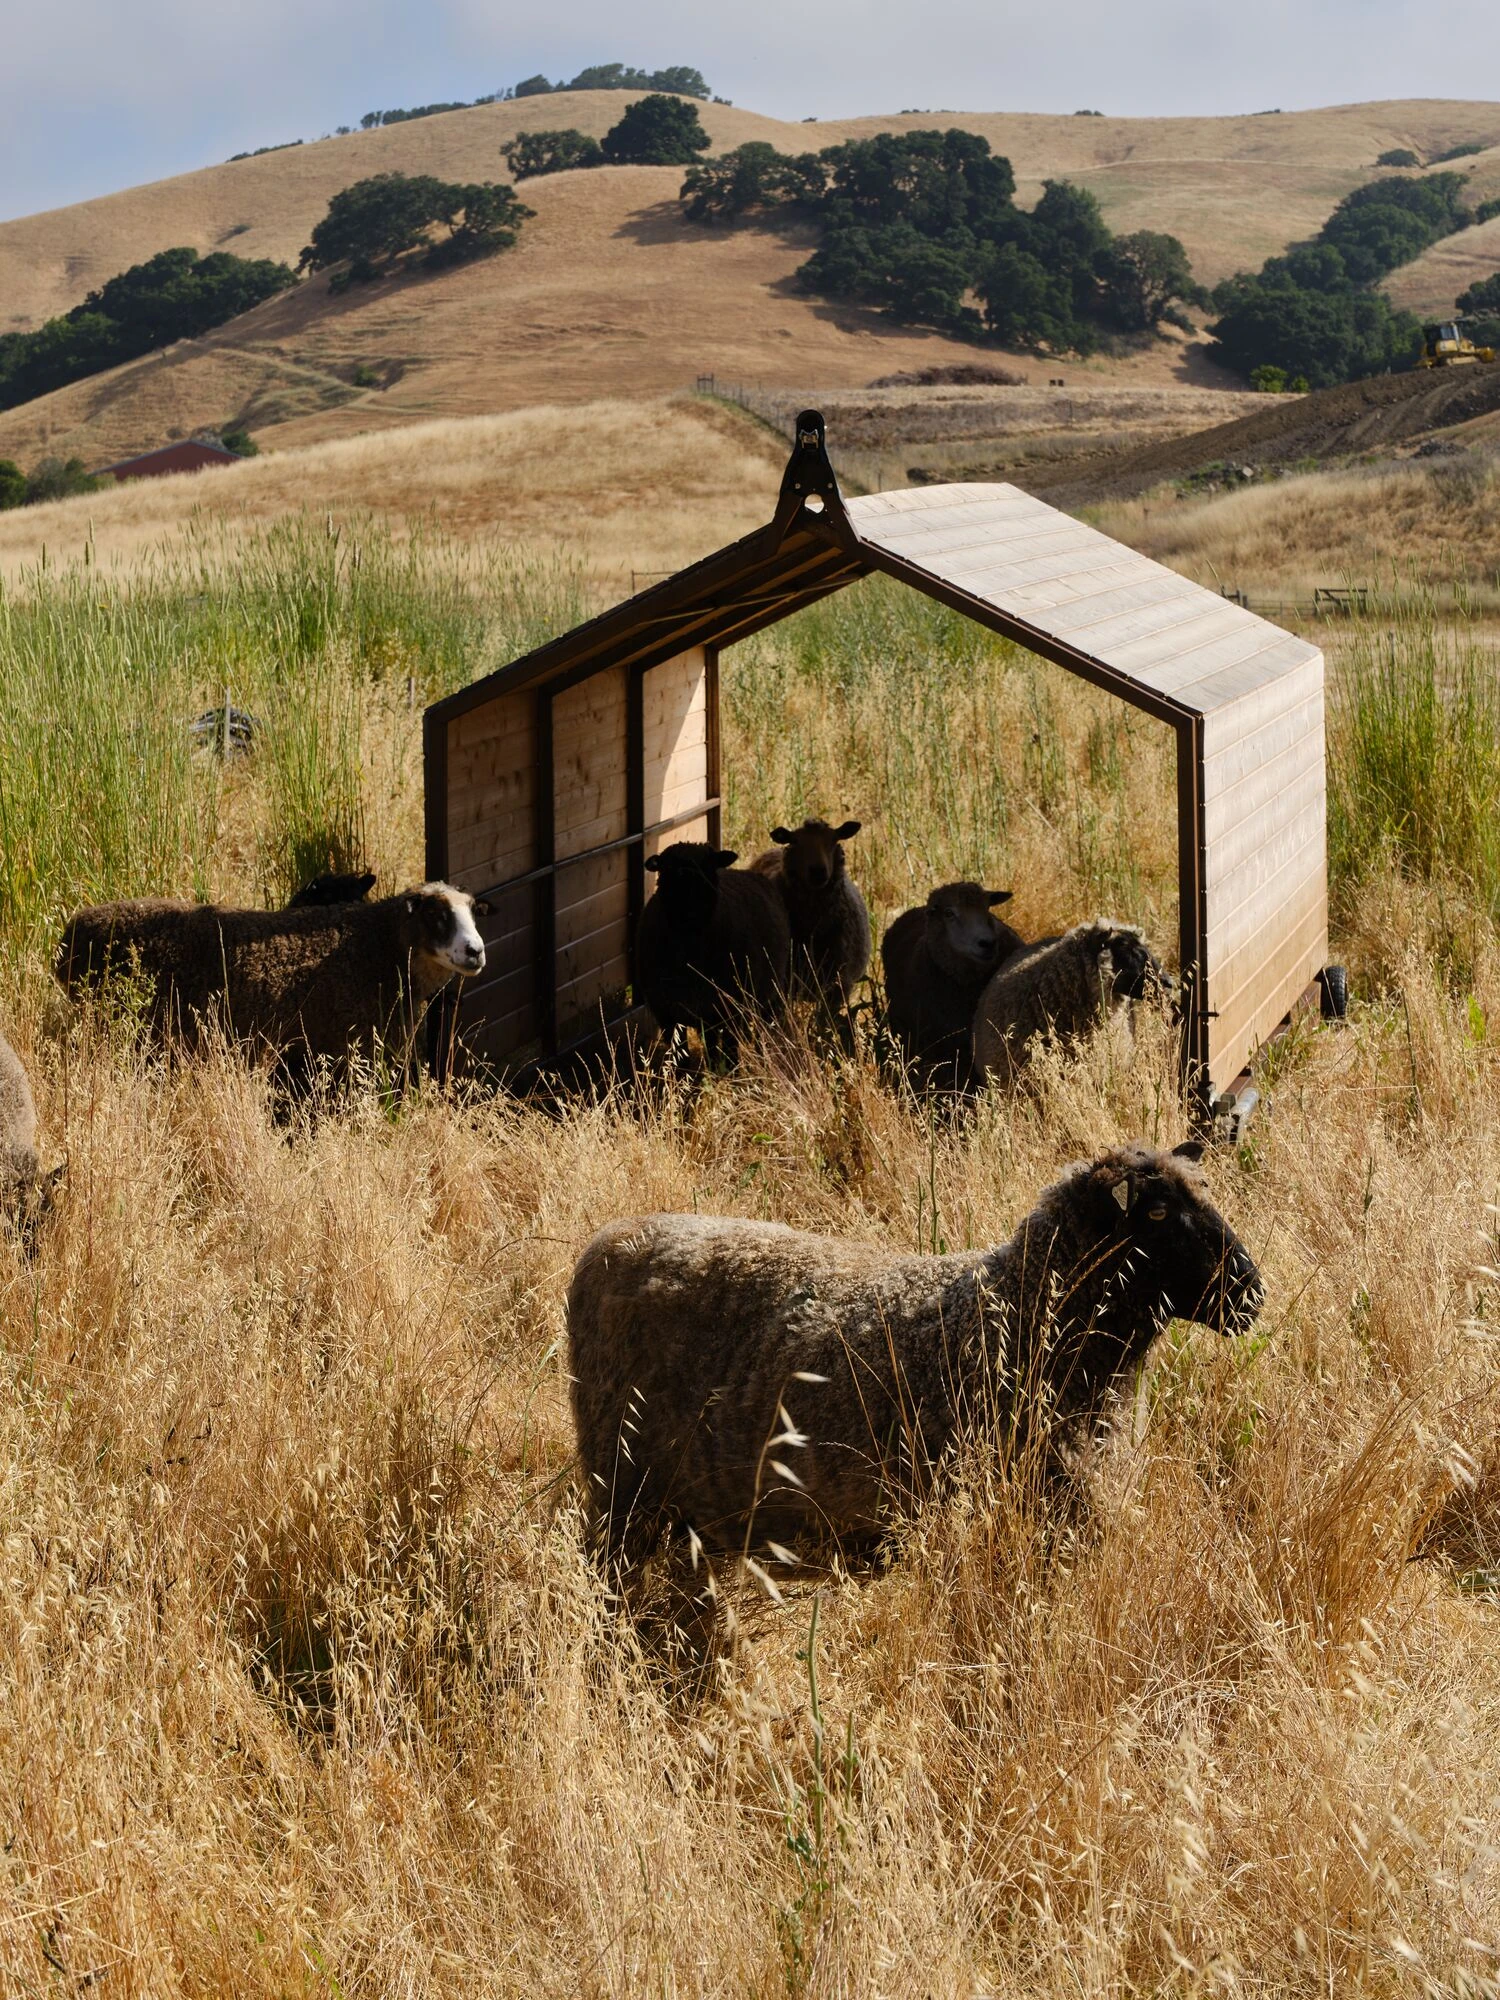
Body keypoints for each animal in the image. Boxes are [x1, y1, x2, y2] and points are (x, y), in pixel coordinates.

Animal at [54, 883, 486, 1082]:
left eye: (472, 913)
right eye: (436, 915)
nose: (476, 951)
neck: (377, 948)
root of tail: (72, 934)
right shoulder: (346, 1054)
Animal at [634, 843, 791, 1065]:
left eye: (708, 865)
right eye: (667, 867)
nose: (691, 909)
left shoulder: (729, 1008)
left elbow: (730, 1050)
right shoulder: (667, 1012)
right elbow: (680, 1055)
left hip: (768, 996)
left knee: (763, 1031)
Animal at [749, 818, 870, 1033]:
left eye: (834, 840)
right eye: (795, 841)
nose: (818, 871)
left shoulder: (837, 986)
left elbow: (824, 1024)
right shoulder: (780, 985)